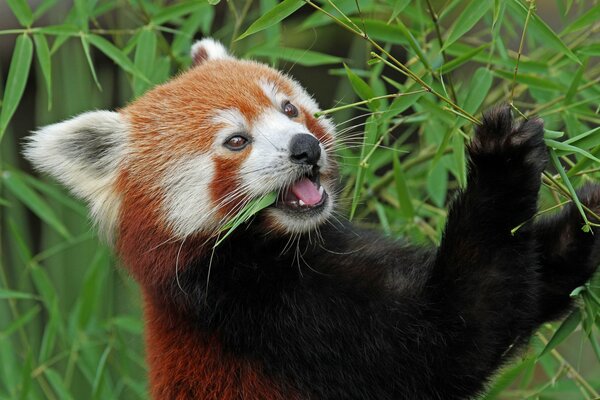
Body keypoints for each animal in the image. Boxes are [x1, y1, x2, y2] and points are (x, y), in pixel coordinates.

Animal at [23, 38, 600, 400]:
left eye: (288, 109)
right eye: (236, 141)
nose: (305, 148)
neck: (279, 248)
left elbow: (527, 286)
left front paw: (586, 214)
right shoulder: (273, 321)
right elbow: (458, 332)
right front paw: (502, 162)